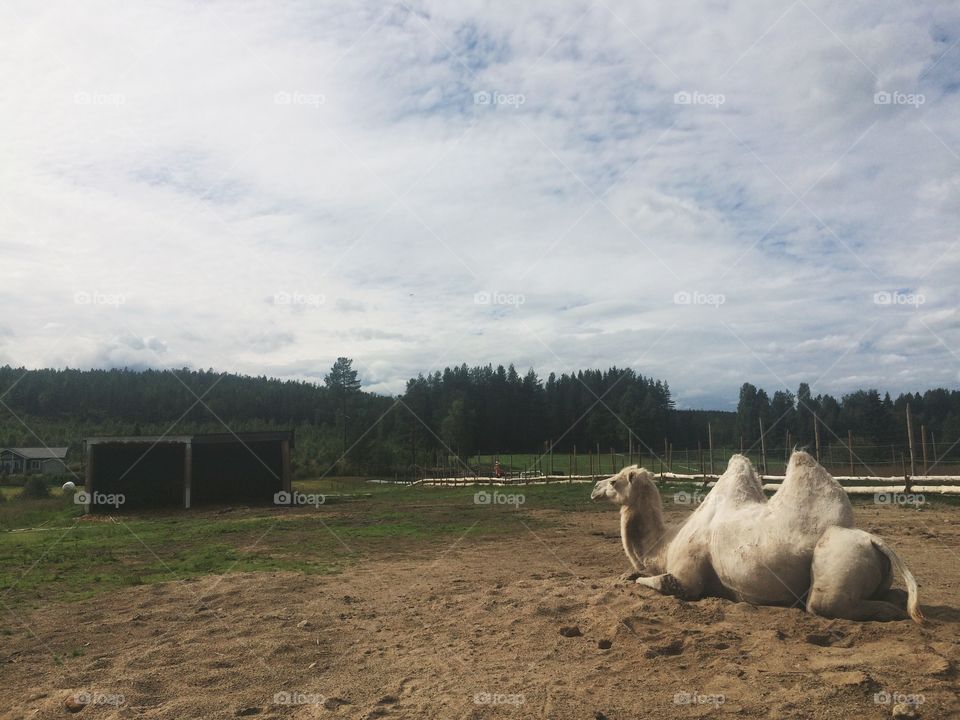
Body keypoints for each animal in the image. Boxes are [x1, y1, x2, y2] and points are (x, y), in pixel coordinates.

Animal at [591, 451, 922, 622]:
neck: (664, 545)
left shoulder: (687, 577)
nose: (594, 488)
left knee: (826, 605)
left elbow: (661, 584)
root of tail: (873, 540)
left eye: (614, 481)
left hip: (836, 565)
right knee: (894, 595)